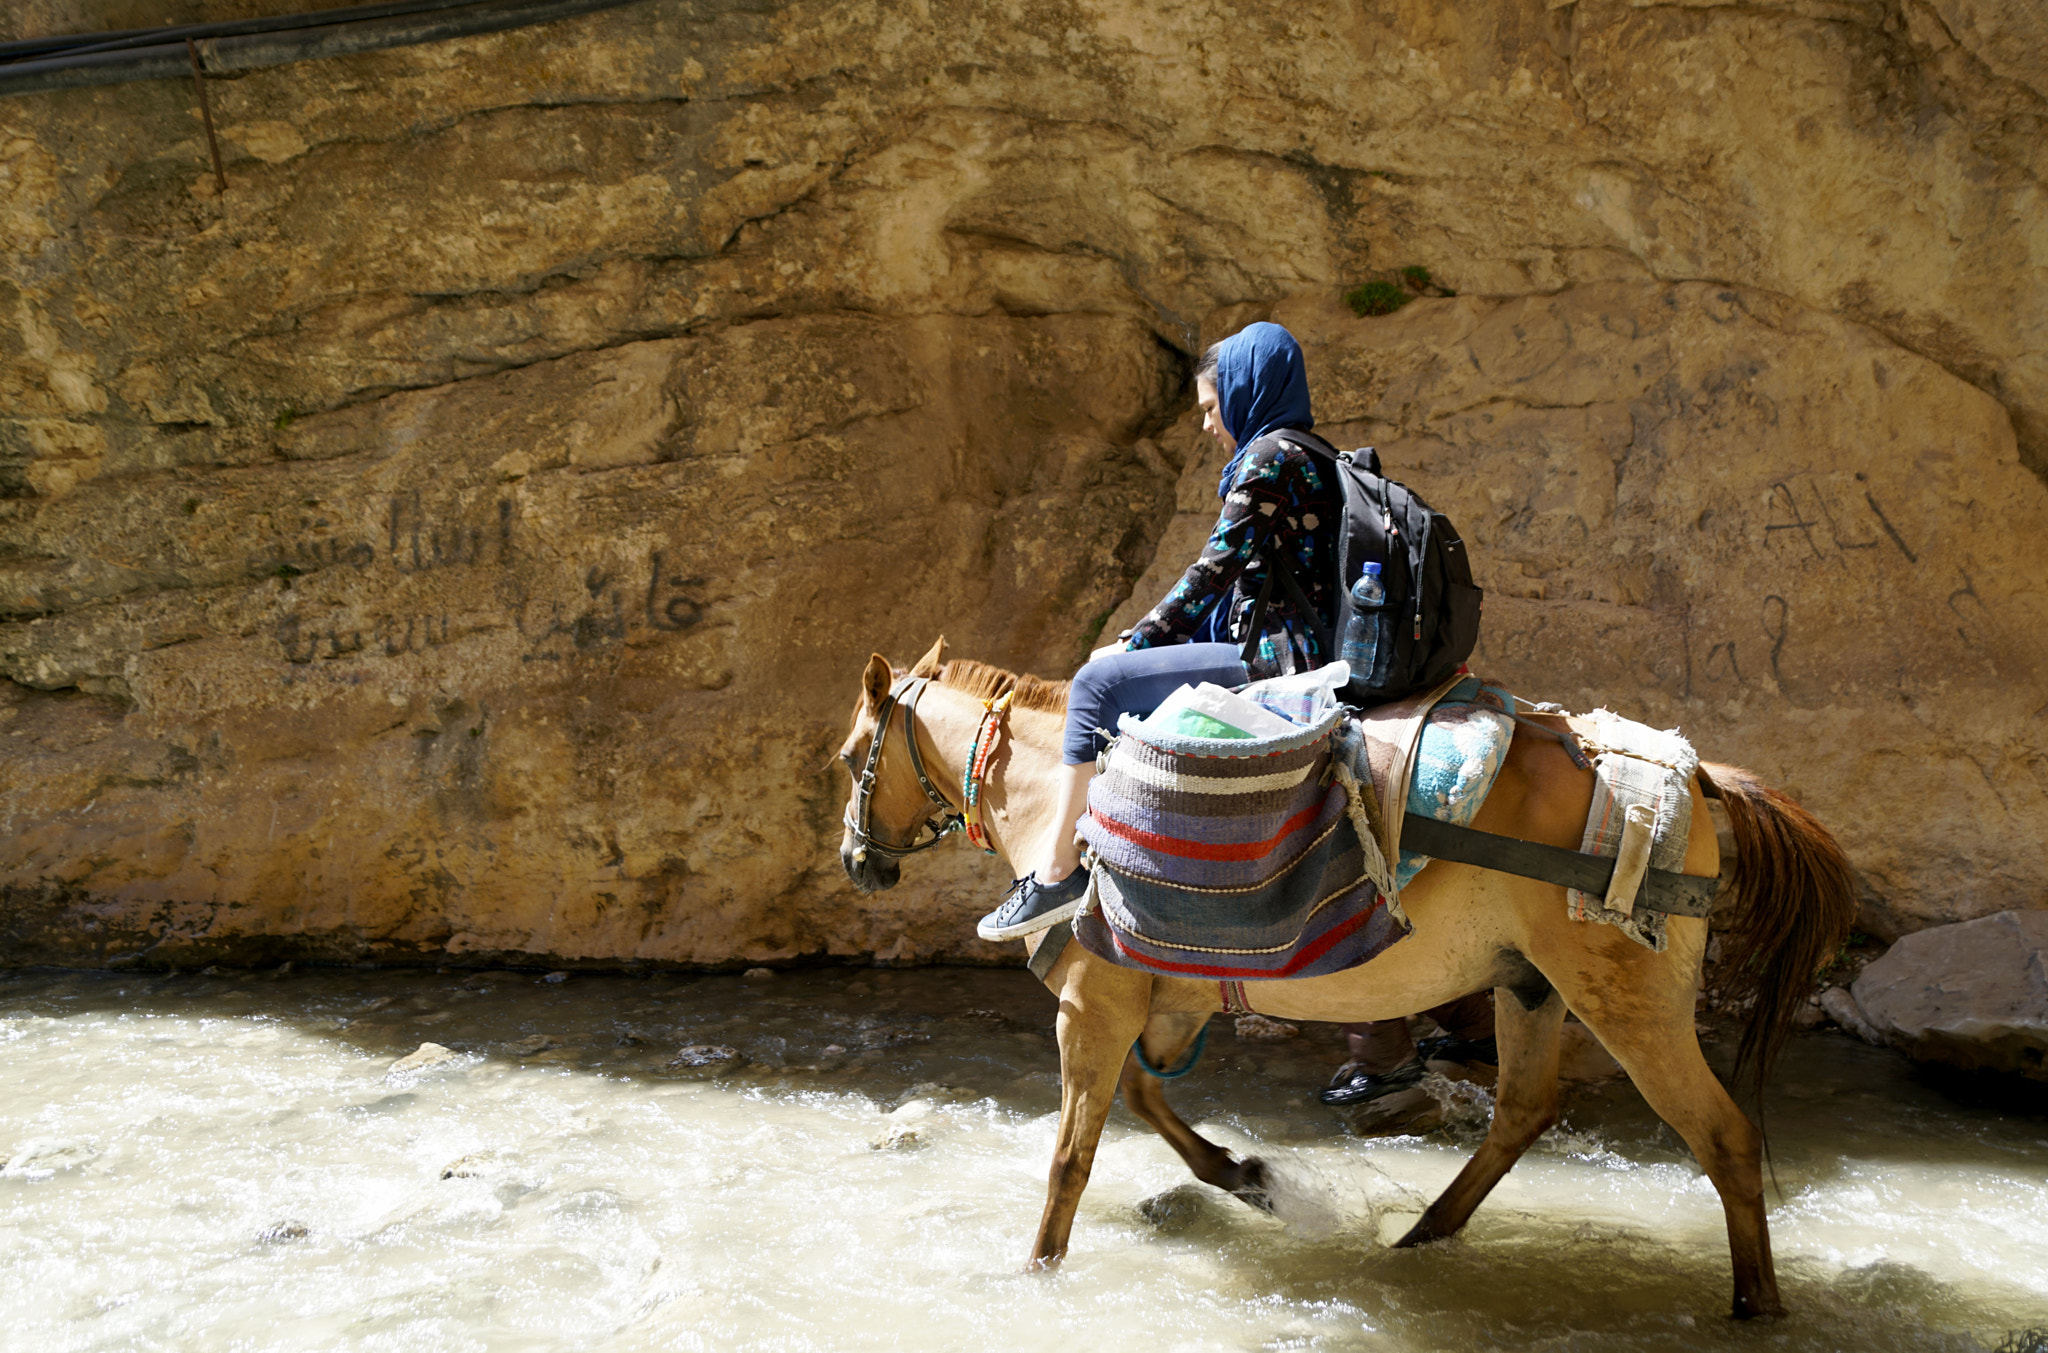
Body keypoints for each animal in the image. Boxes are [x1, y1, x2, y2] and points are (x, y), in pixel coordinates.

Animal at [831, 634, 1859, 1318]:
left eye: (848, 757)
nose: (855, 862)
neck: (1058, 808)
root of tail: (1697, 777)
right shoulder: (1156, 1004)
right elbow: (1146, 1101)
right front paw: (1242, 1173)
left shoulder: (1093, 1004)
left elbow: (1070, 1156)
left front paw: (1038, 1272)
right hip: (1531, 986)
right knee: (1524, 1111)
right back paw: (1419, 1237)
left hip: (1630, 1000)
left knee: (1725, 1135)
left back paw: (1758, 1304)